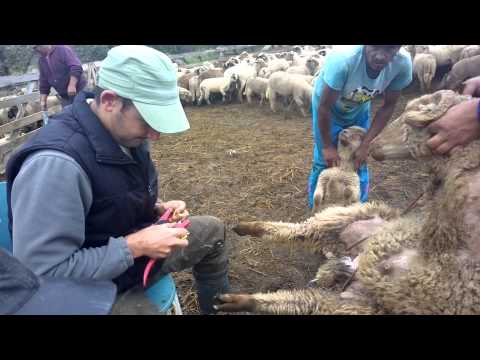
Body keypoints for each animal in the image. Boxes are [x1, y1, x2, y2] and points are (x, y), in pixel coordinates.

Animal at [215, 90, 480, 316]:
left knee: (296, 269)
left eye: (408, 115)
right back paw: (244, 229)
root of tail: (352, 259)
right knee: (295, 231)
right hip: (340, 223)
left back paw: (238, 292)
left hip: (347, 286)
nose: (374, 144)